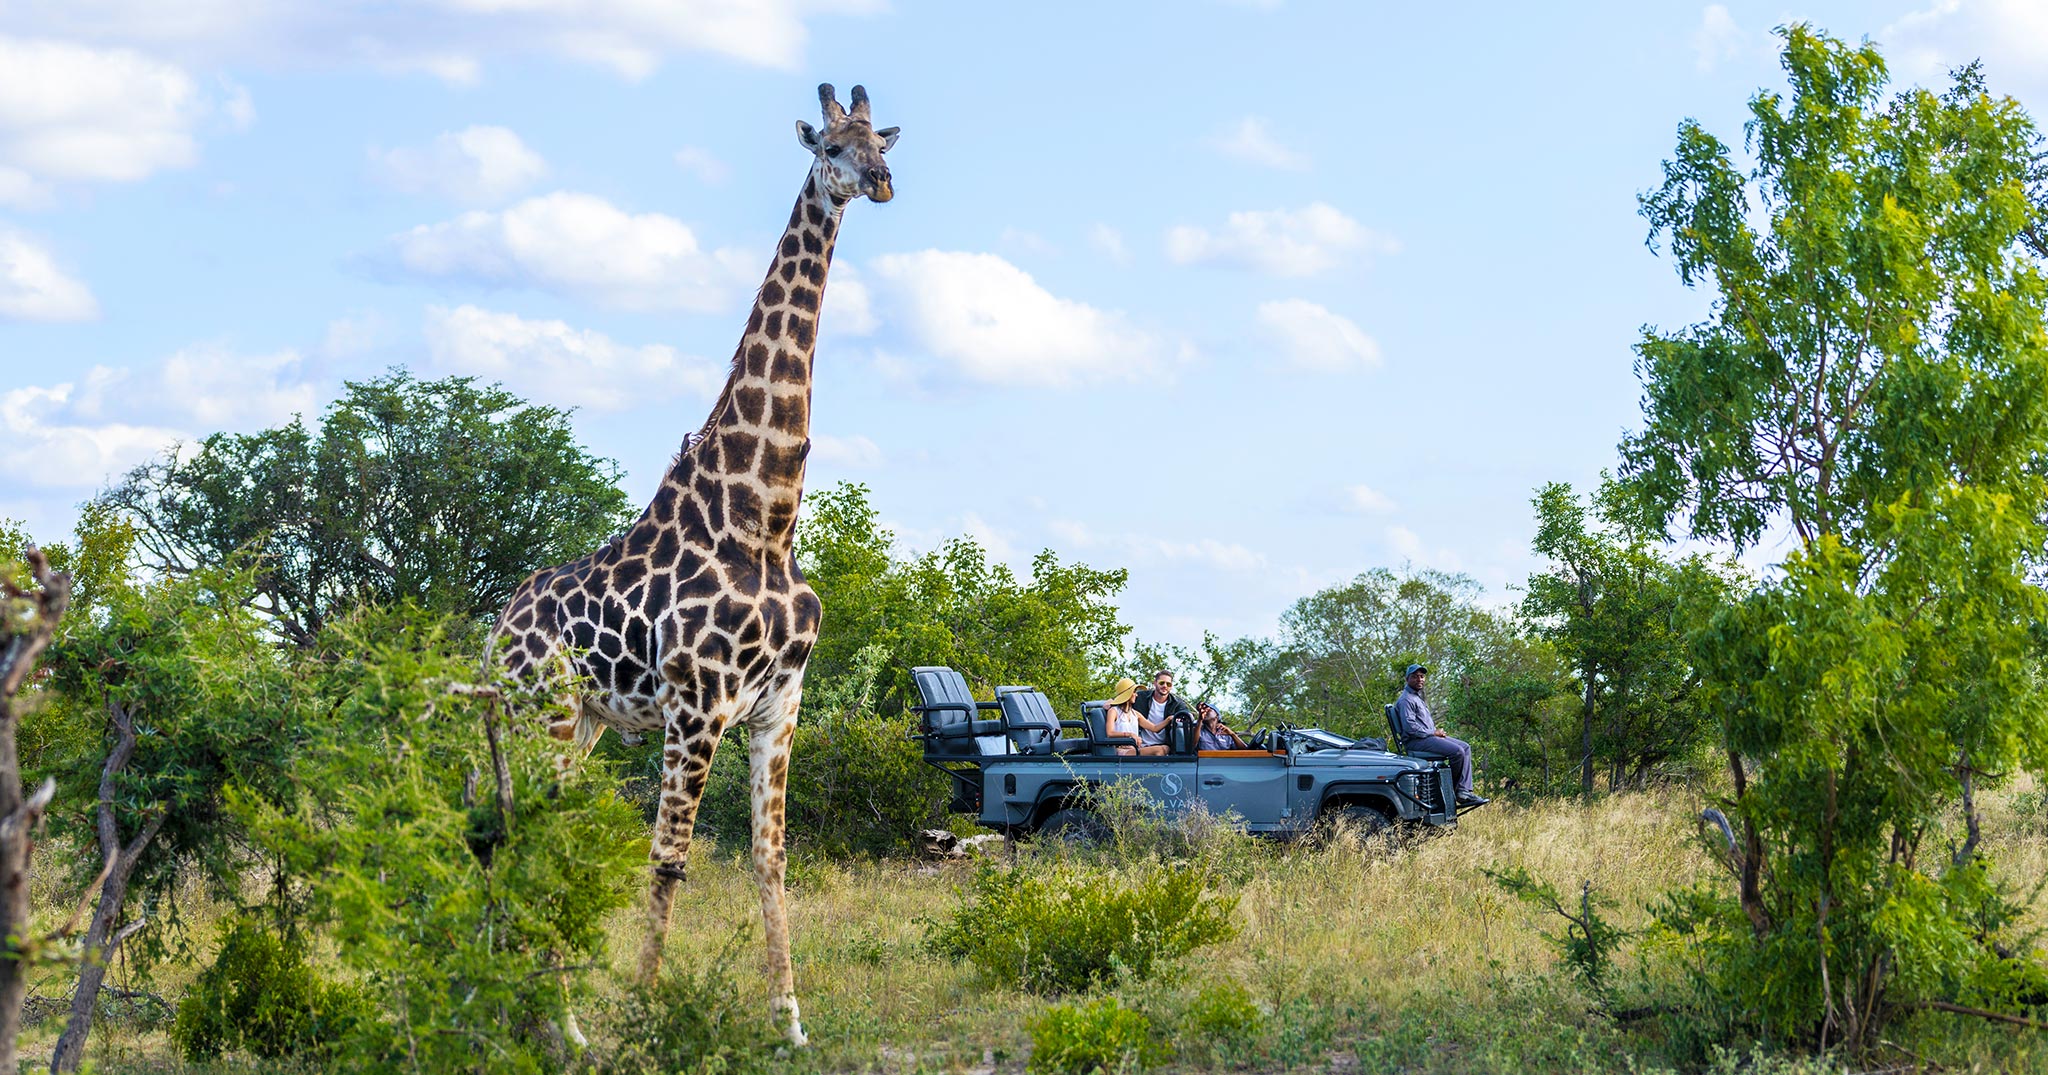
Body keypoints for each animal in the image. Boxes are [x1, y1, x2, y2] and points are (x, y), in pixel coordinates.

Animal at [487, 86, 897, 1048]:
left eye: (880, 140)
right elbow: (669, 856)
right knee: (529, 840)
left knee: (518, 835)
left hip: (584, 722)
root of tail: (492, 632)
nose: (881, 181)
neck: (765, 516)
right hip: (543, 711)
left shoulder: (779, 701)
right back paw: (561, 1027)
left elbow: (769, 858)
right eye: (829, 146)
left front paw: (790, 1023)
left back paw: (515, 1014)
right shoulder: (698, 699)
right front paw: (643, 1015)